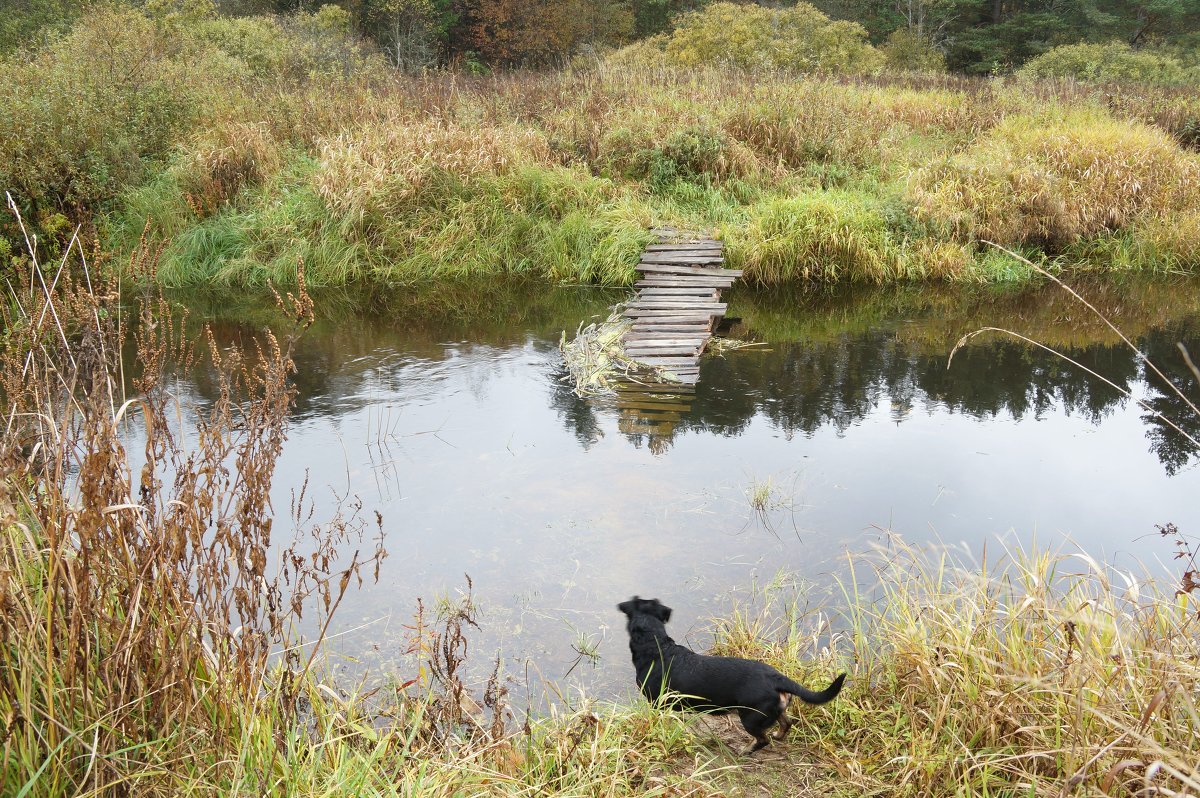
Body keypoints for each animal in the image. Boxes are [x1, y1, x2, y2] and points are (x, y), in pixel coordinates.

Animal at [619, 595, 844, 748]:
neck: (657, 647)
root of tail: (776, 677)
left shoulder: (656, 703)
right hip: (775, 709)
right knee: (786, 722)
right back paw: (777, 736)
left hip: (751, 718)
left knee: (762, 739)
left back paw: (746, 750)